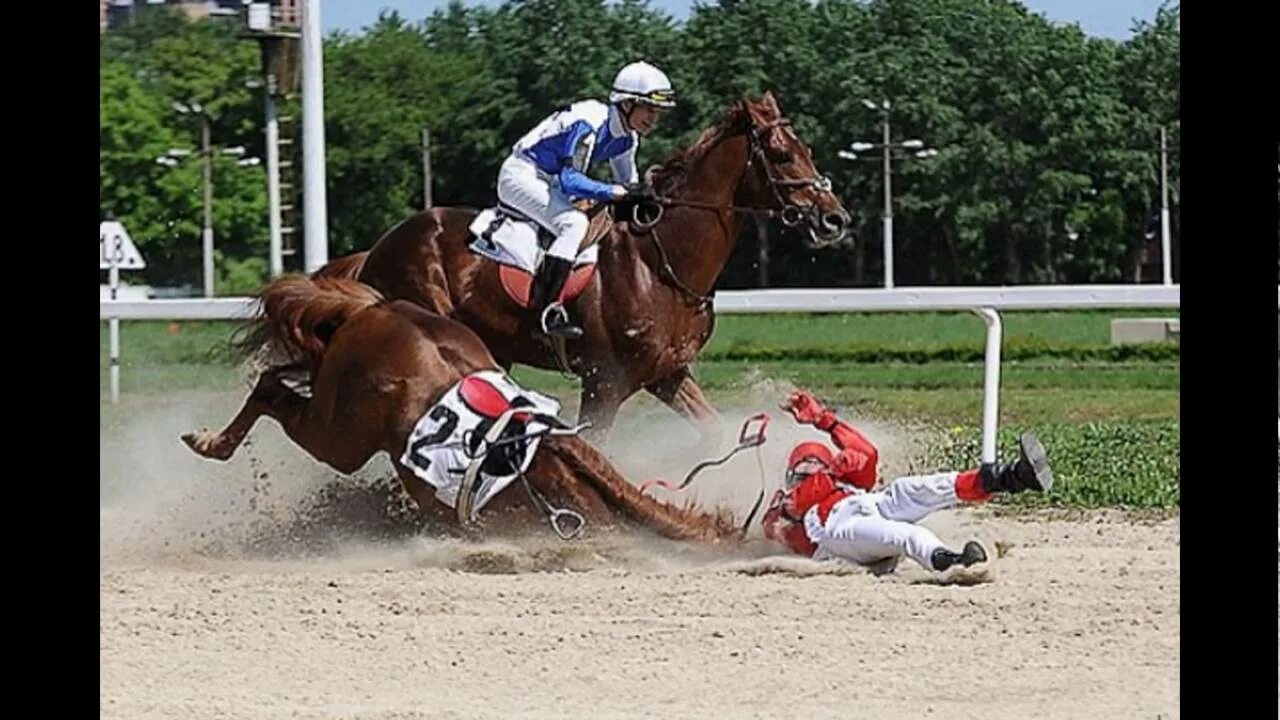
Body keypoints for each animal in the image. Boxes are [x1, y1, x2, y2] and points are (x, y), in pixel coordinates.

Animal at [307, 91, 849, 445]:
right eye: (781, 154)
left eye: (807, 149)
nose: (835, 218)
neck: (661, 262)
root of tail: (374, 250)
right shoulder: (604, 383)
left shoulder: (668, 374)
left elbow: (714, 431)